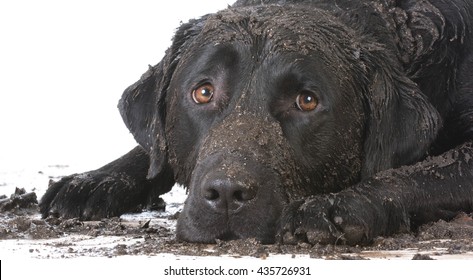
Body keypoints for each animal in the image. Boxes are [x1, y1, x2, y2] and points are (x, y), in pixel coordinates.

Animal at [39, 0, 472, 245]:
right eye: (203, 92)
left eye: (307, 101)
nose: (227, 193)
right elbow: (152, 149)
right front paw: (95, 180)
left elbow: (413, 173)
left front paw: (337, 205)